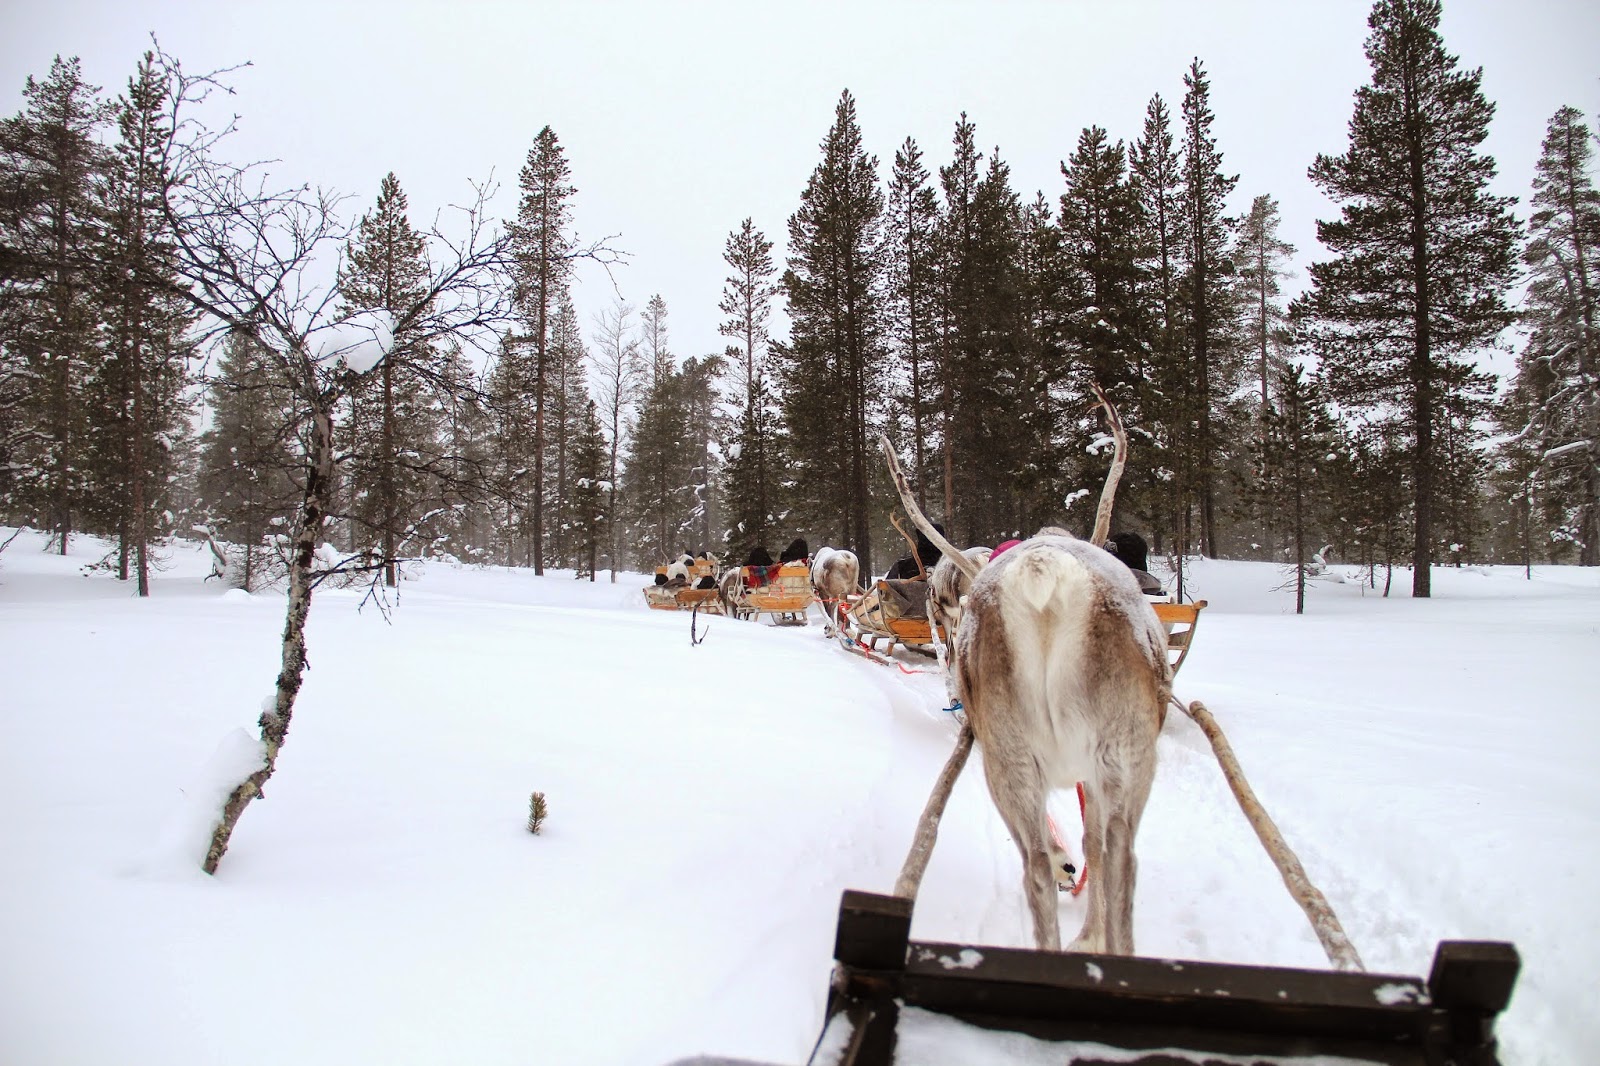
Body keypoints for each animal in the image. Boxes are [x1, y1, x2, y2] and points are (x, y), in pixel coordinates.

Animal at [884, 384, 1170, 955]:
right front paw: (1090, 933)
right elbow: (1091, 844)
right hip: (1119, 758)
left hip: (1016, 758)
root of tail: (1044, 573)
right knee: (1115, 862)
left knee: (1040, 866)